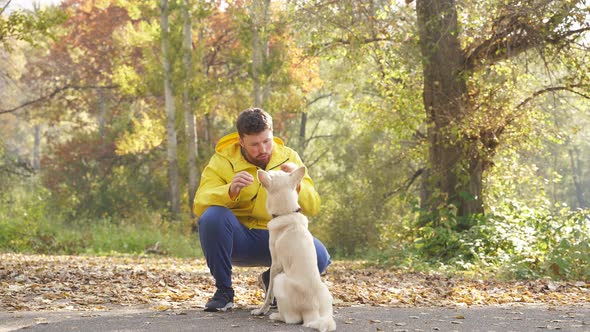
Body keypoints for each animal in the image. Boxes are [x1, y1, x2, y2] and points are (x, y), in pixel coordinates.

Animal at [251, 167, 338, 332]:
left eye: (271, 173)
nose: (259, 169)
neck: (287, 213)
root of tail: (312, 310)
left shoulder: (275, 265)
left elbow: (269, 294)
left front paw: (261, 311)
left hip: (279, 279)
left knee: (292, 319)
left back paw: (276, 316)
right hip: (325, 292)